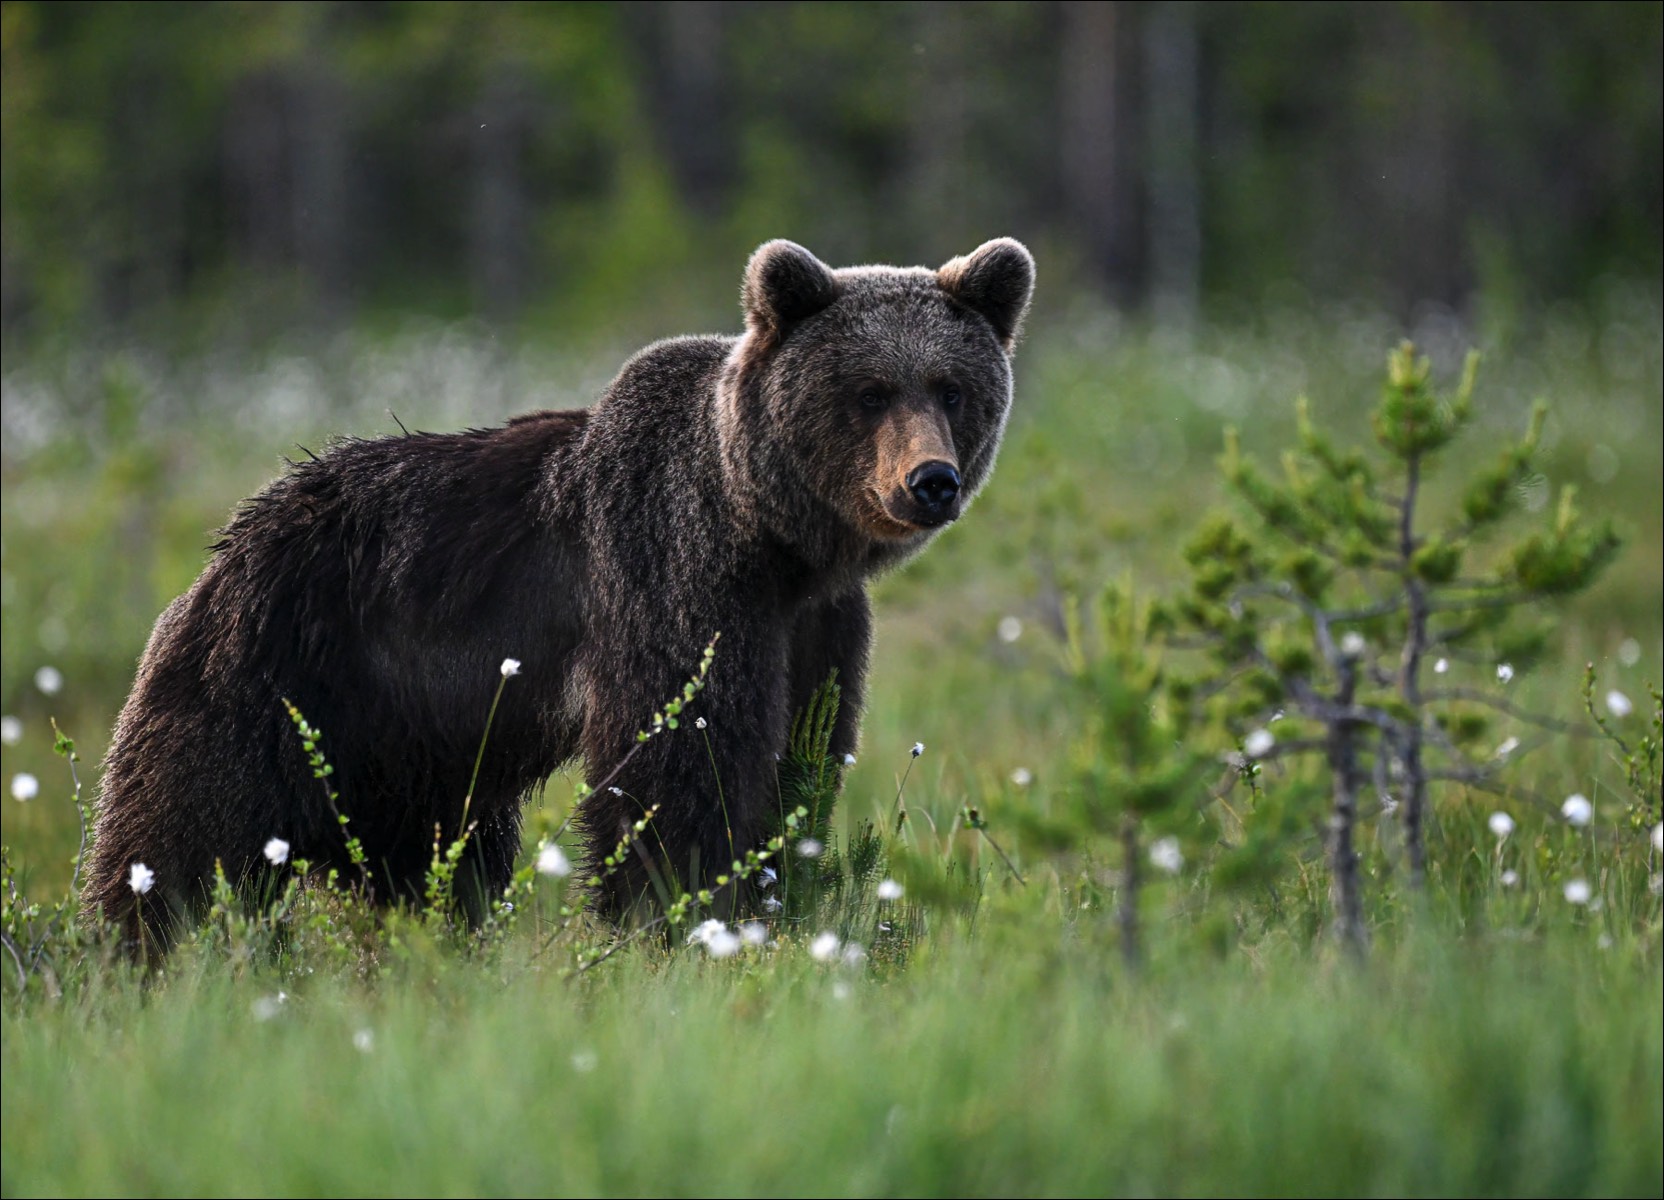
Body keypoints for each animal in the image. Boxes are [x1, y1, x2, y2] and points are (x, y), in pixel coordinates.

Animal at [87, 236, 1038, 945]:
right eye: (869, 391)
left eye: (953, 388)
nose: (930, 481)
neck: (769, 534)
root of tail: (239, 532)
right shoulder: (673, 575)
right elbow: (674, 764)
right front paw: (675, 915)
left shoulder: (818, 625)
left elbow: (799, 760)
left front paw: (772, 893)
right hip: (282, 666)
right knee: (184, 827)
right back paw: (142, 944)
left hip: (414, 754)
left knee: (432, 863)